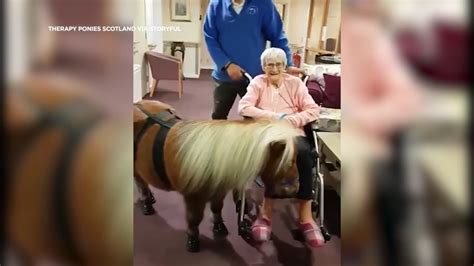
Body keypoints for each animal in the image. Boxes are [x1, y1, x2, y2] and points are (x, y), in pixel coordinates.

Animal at [133, 99, 300, 251]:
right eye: (288, 161)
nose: (295, 189)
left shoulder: (219, 191)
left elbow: (217, 208)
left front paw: (219, 226)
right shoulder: (193, 198)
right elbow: (195, 218)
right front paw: (192, 240)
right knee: (140, 182)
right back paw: (146, 203)